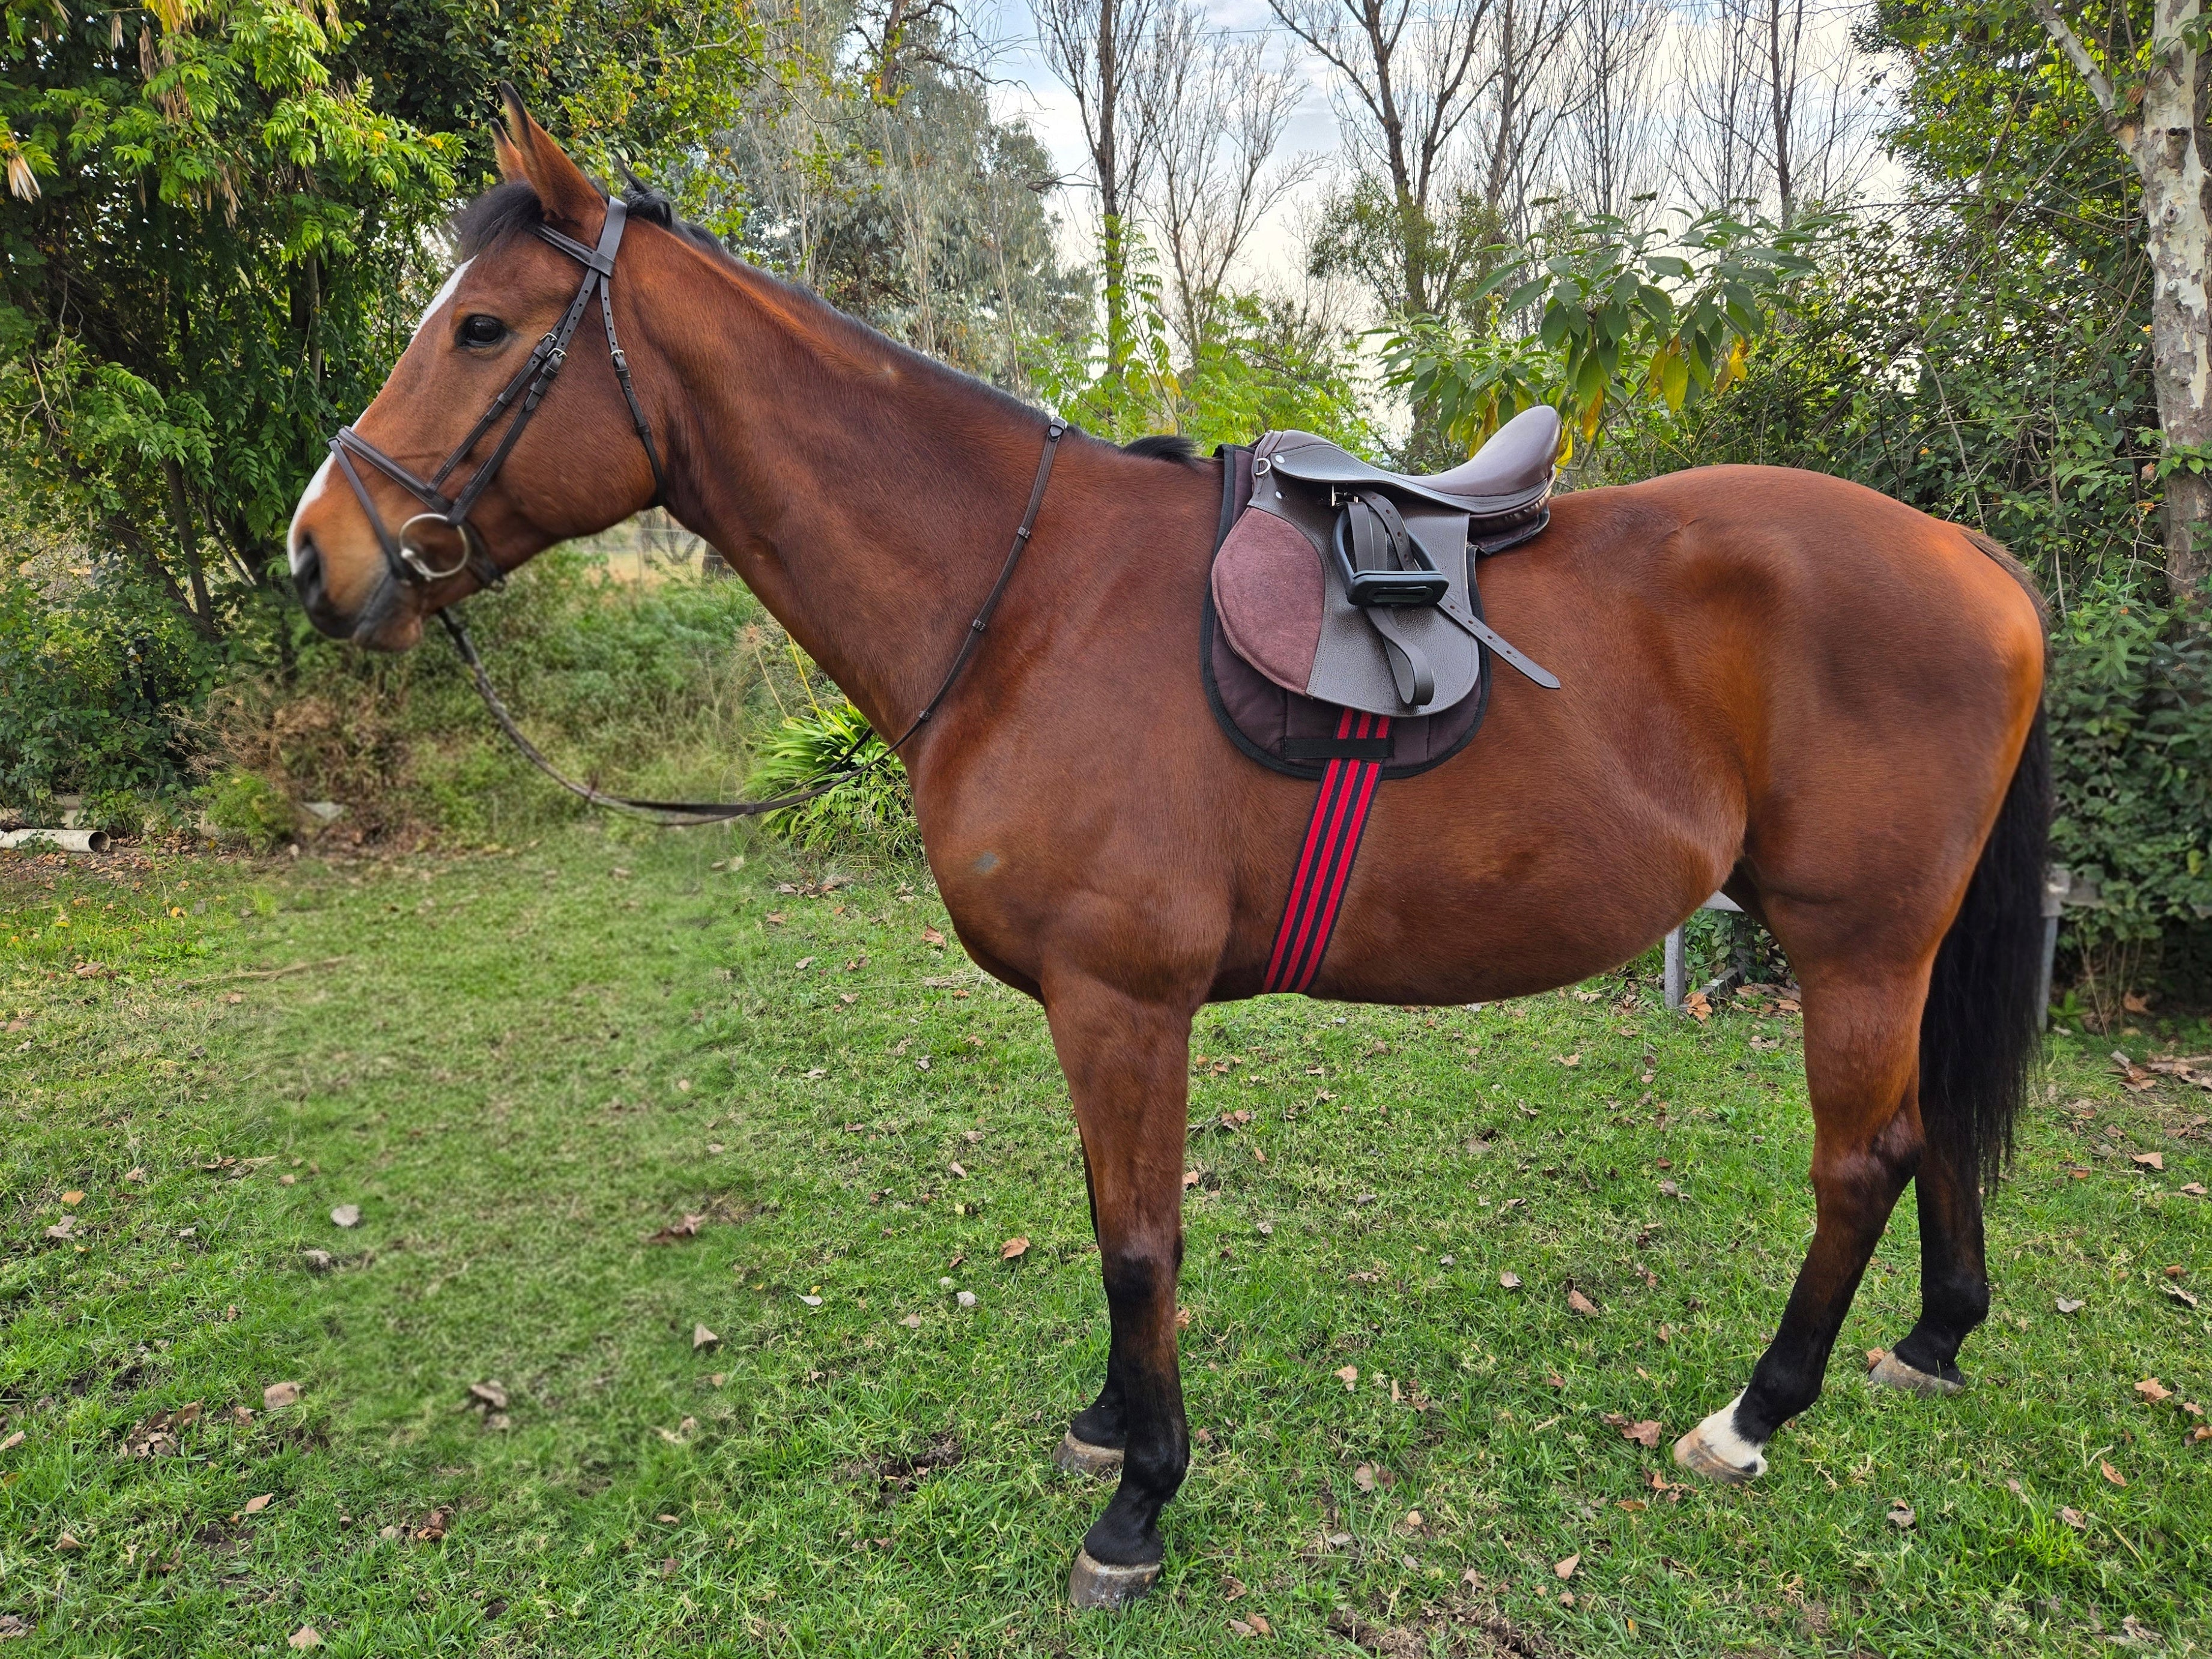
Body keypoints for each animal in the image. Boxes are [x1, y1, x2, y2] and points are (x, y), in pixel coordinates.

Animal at [287, 90, 2049, 1609]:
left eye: (482, 327)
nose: (316, 556)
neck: (1024, 600)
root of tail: (1969, 556)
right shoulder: (1106, 1015)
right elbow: (1124, 1227)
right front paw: (1109, 1425)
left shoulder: (1120, 1000)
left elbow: (1136, 1242)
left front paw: (1138, 1501)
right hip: (1896, 948)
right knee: (1930, 1138)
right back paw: (1934, 1341)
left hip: (1855, 941)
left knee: (1862, 1160)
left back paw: (1754, 1413)